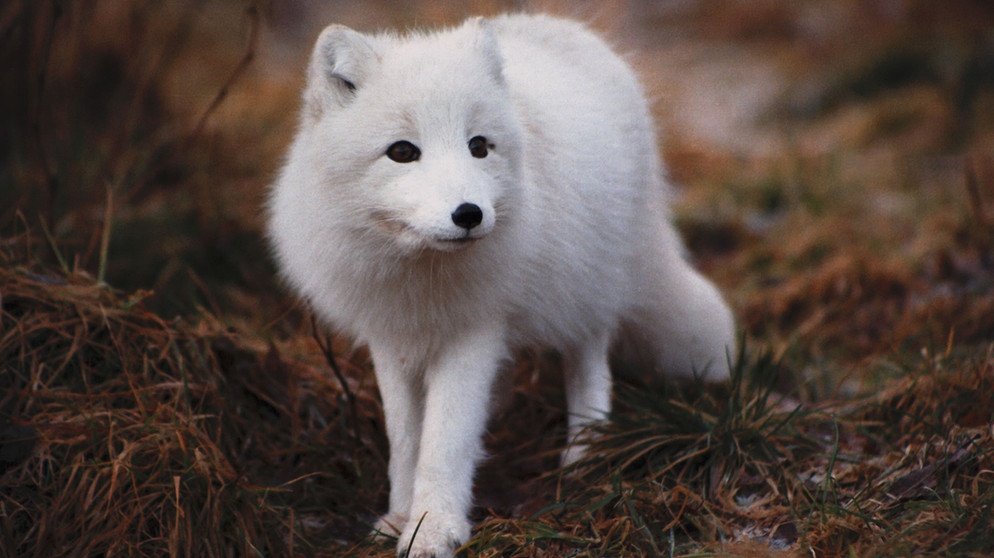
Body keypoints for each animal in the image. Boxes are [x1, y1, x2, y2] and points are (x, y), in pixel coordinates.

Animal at [268, 13, 732, 558]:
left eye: (478, 146)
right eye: (402, 152)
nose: (469, 214)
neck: (422, 277)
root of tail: (561, 25)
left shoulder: (475, 332)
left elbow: (444, 441)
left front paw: (432, 530)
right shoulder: (392, 335)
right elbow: (405, 439)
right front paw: (397, 517)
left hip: (590, 279)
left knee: (590, 359)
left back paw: (585, 454)